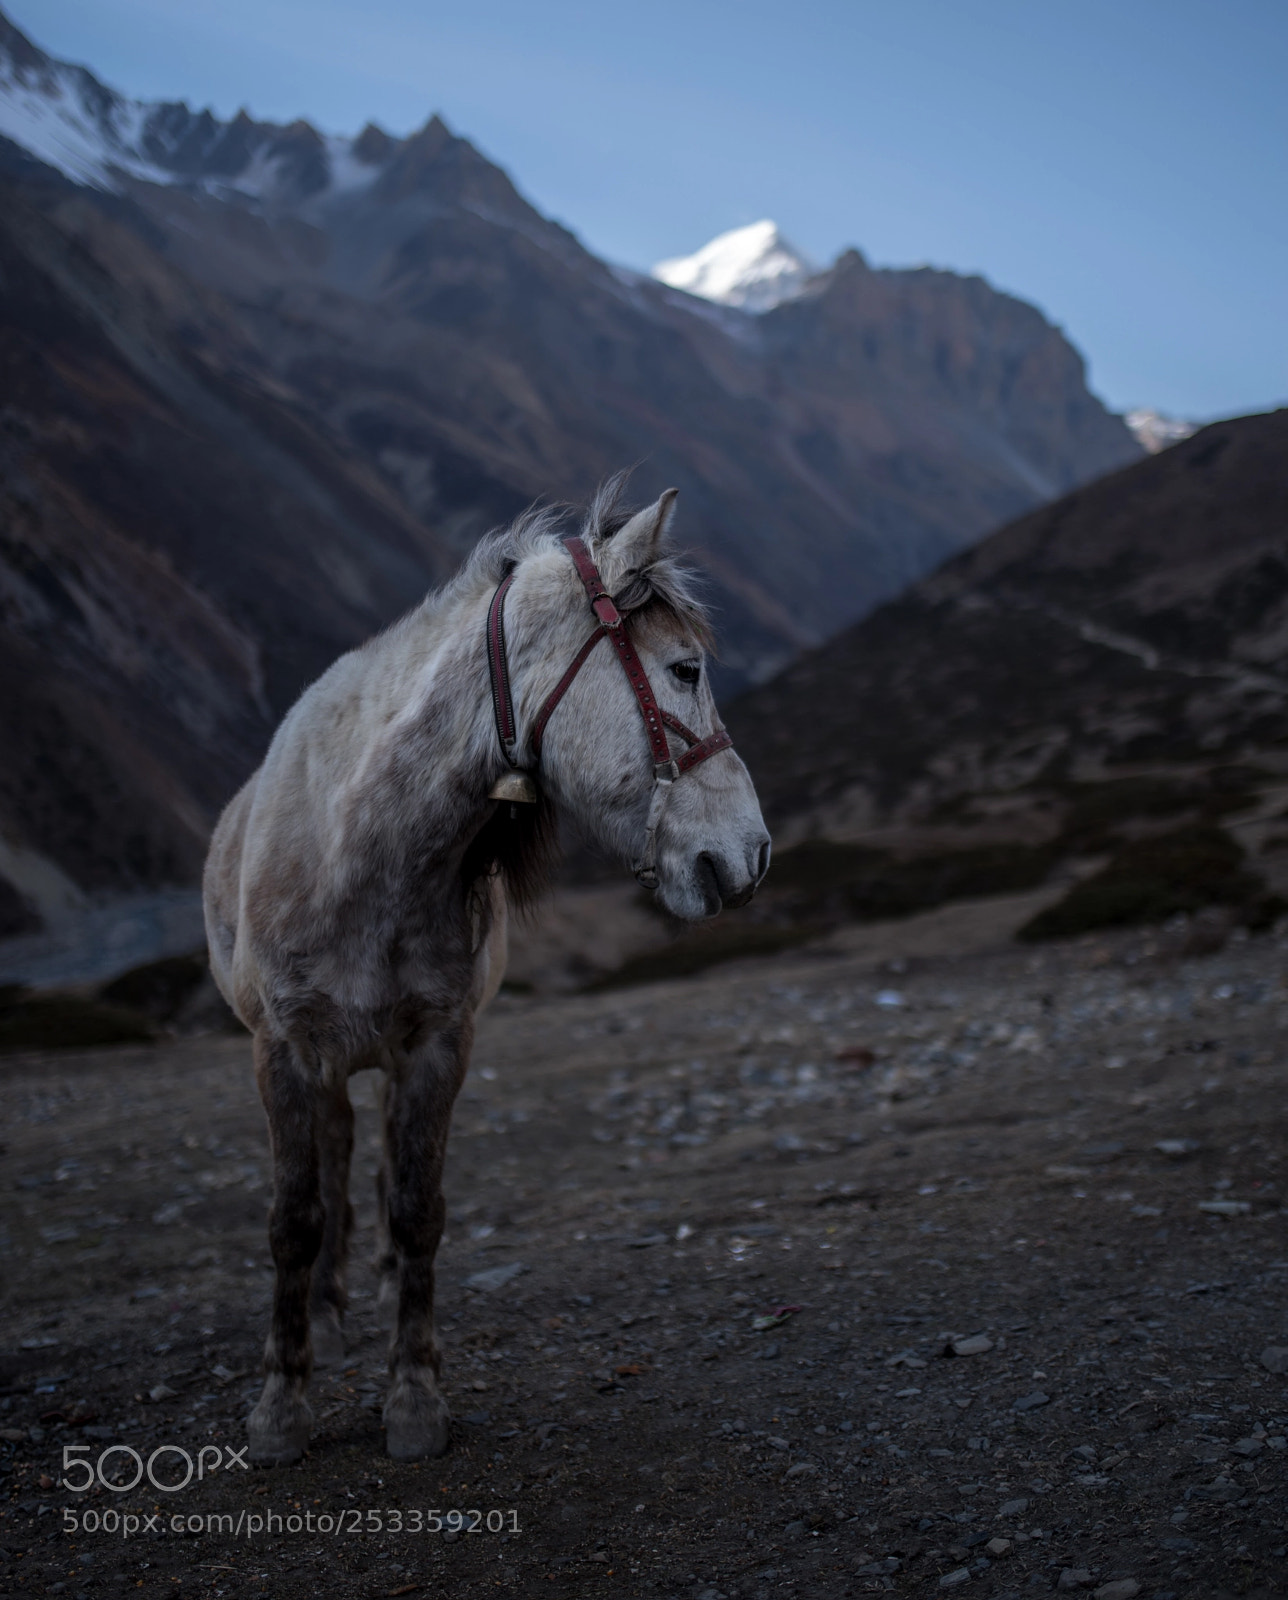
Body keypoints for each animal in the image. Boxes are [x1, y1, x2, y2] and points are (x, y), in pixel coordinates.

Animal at [202, 481, 770, 1463]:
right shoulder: (285, 1050)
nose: (753, 853)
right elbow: (294, 1218)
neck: (360, 851)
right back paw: (331, 1314)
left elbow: (418, 1208)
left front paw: (413, 1399)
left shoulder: (438, 1043)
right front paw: (282, 1406)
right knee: (338, 1160)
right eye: (685, 670)